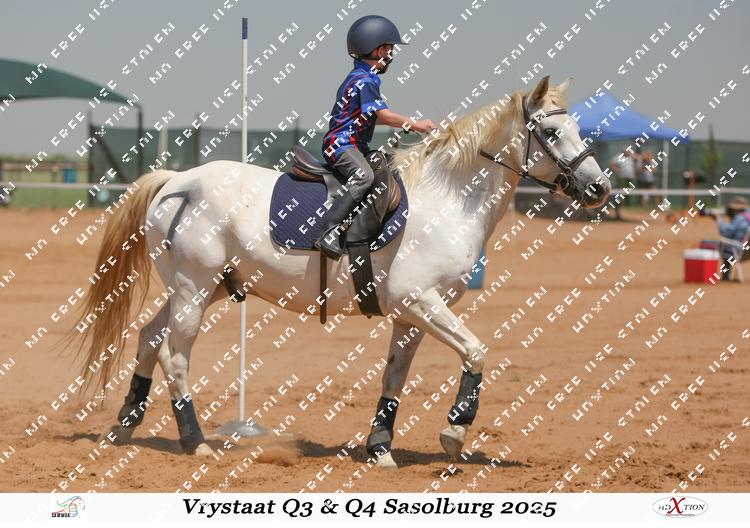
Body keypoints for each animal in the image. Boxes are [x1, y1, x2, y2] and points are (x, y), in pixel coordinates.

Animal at [70, 75, 611, 470]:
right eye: (553, 133)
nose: (599, 188)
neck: (448, 201)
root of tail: (176, 182)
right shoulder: (422, 302)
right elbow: (476, 351)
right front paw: (454, 431)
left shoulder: (410, 316)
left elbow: (394, 378)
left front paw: (380, 448)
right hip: (193, 291)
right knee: (176, 357)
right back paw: (195, 440)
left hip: (206, 289)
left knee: (148, 338)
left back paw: (124, 426)